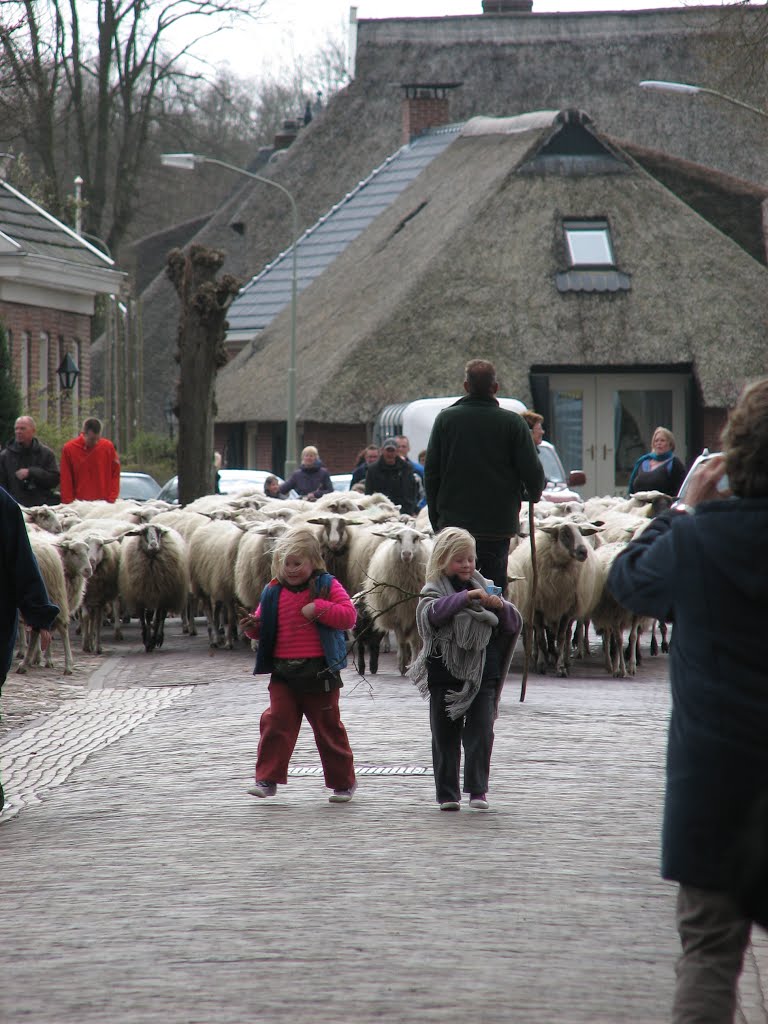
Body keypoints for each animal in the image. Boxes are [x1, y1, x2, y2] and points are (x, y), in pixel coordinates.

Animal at [362, 528, 434, 679]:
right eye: (398, 538)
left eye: (415, 538)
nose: (406, 554)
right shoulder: (395, 614)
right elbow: (401, 641)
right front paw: (402, 665)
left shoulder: (414, 613)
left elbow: (415, 642)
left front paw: (413, 664)